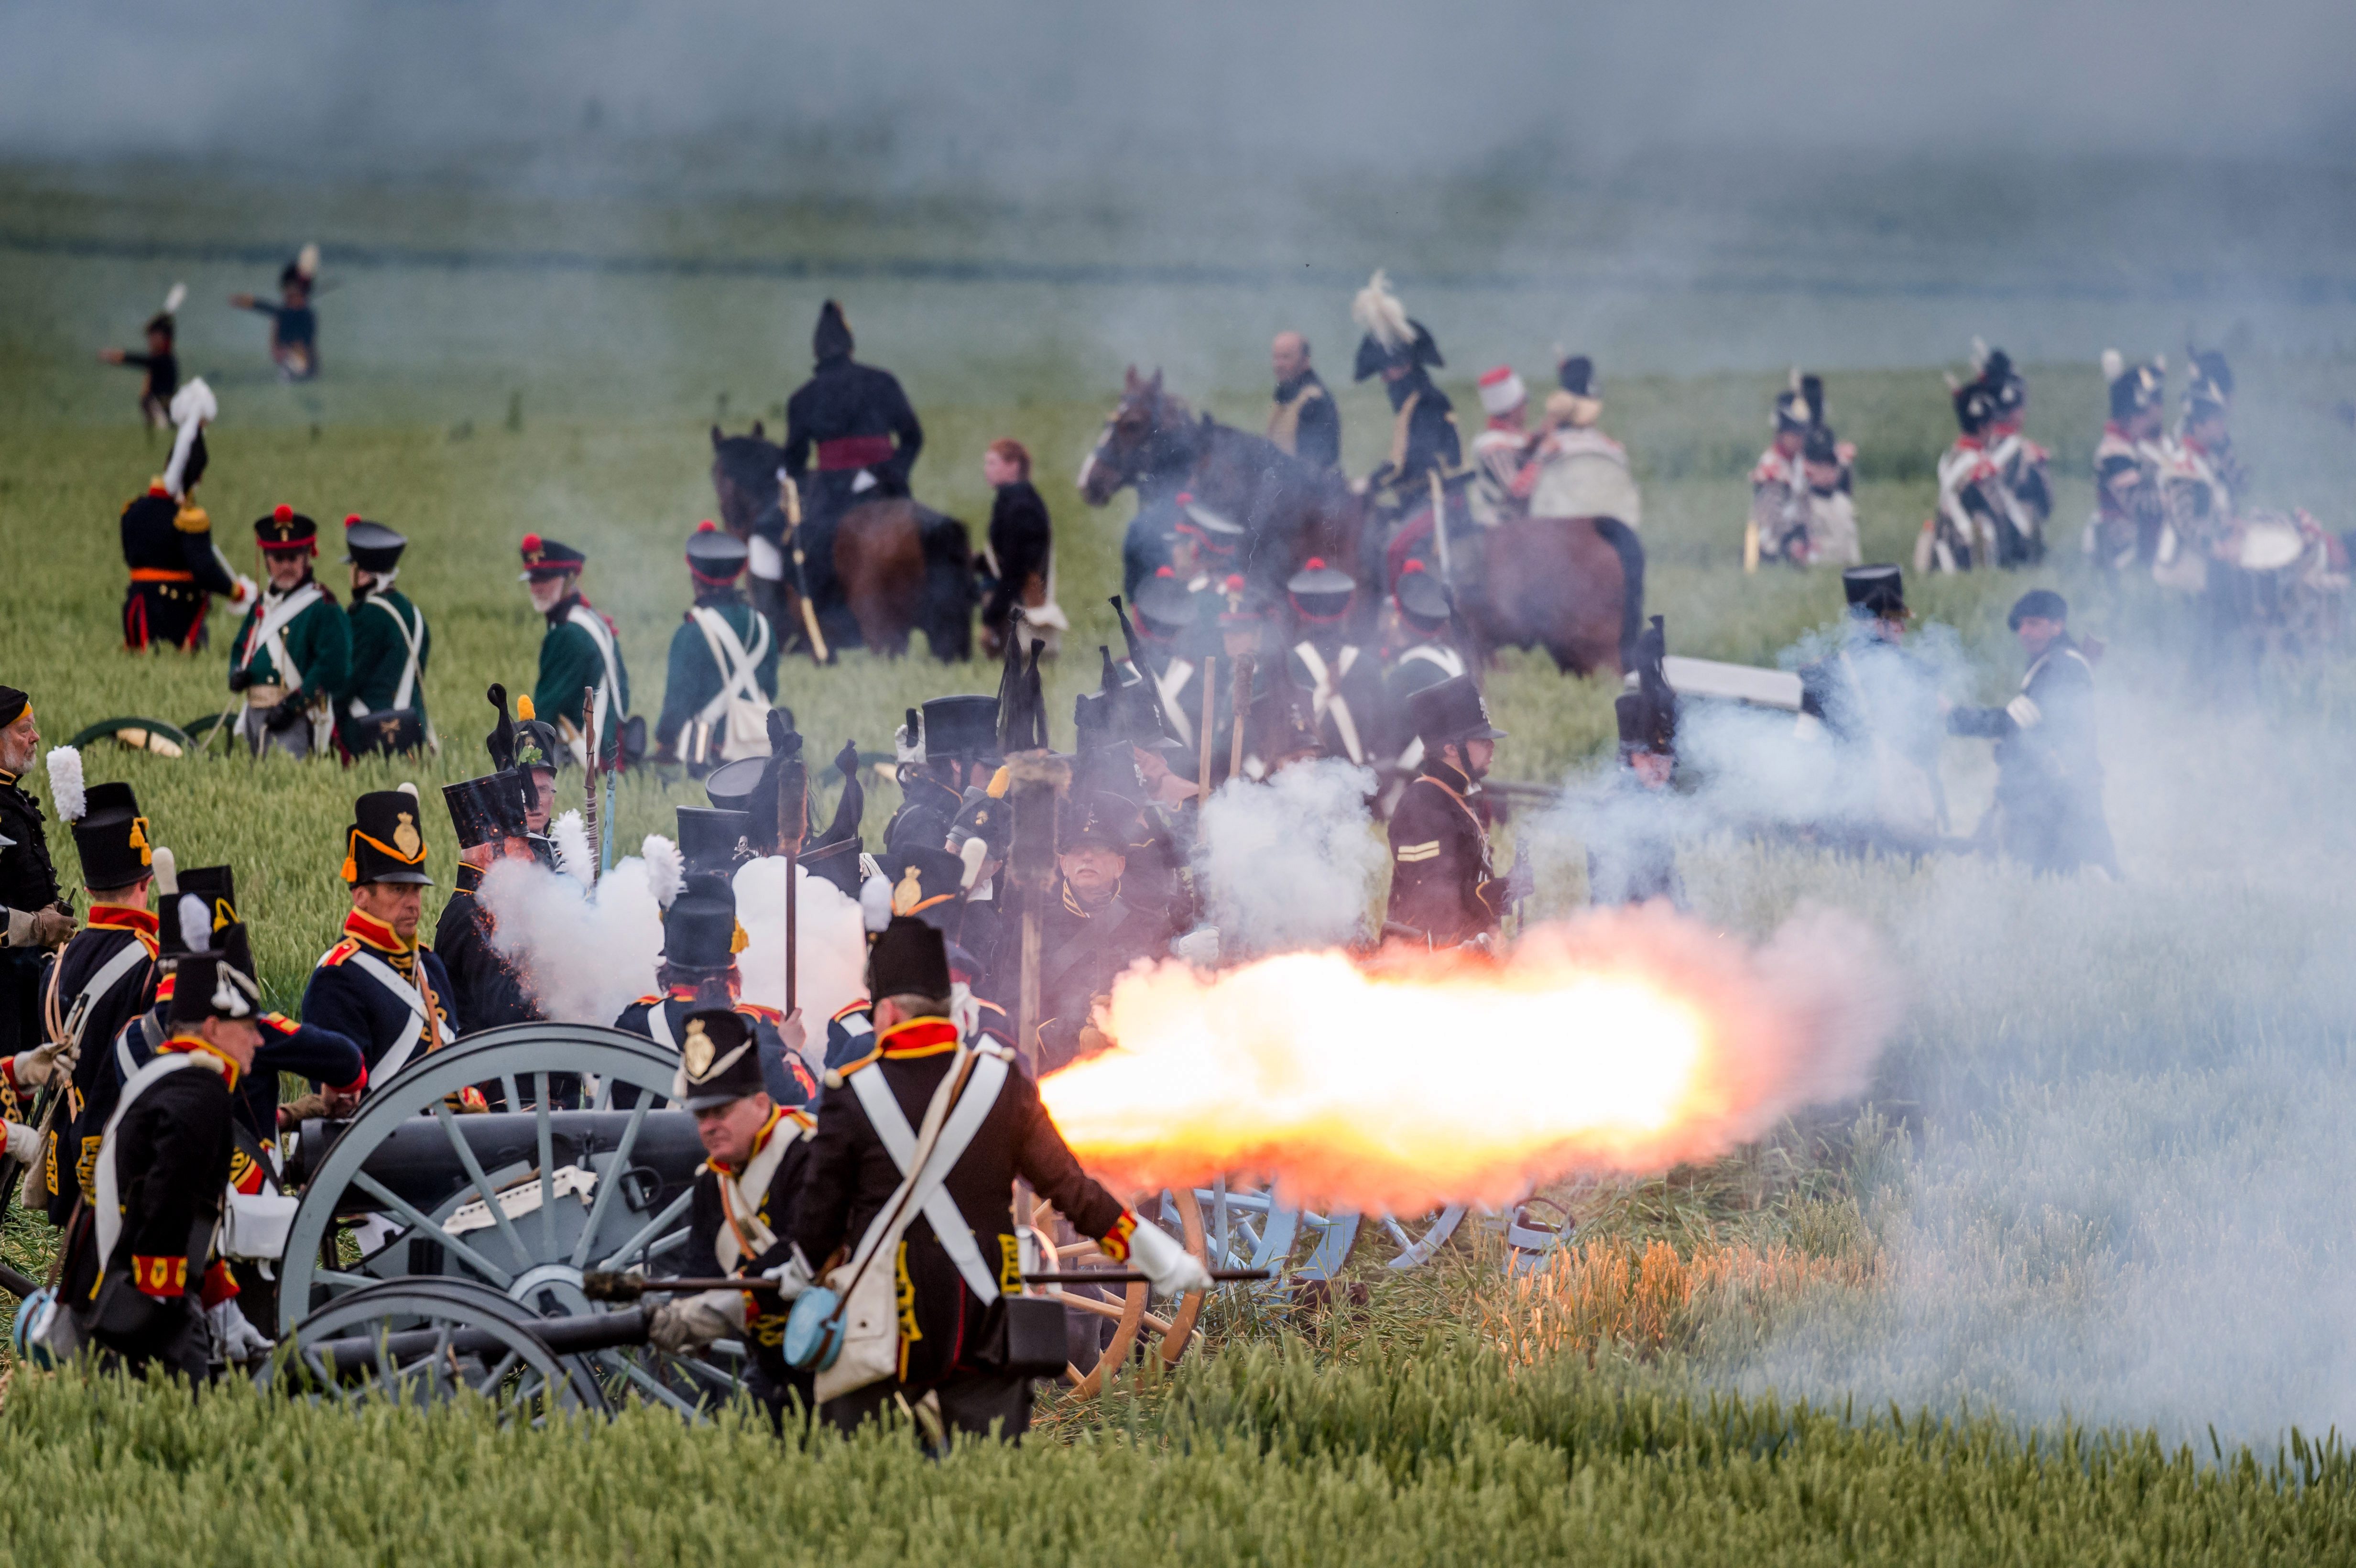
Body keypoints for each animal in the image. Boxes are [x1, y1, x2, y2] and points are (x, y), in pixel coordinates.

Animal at [1079, 376, 1649, 678]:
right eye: (1109, 419)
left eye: (1131, 424)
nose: (1090, 480)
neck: (1312, 533)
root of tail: (1600, 526)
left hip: (1598, 658)